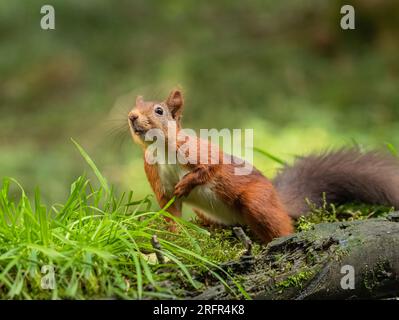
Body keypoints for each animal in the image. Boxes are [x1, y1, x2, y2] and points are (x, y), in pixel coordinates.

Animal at [129, 87, 399, 242]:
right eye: (133, 107)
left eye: (159, 110)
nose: (132, 116)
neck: (160, 150)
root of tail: (278, 200)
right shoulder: (156, 178)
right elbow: (170, 212)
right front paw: (173, 237)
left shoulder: (199, 152)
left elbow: (209, 169)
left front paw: (186, 184)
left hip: (257, 202)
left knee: (281, 227)